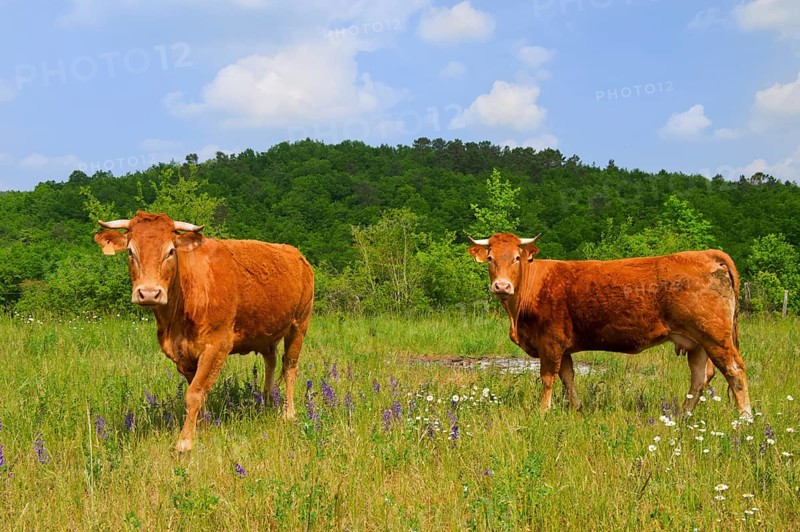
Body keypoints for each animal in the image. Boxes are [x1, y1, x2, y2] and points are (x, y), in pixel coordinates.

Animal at [95, 211, 314, 452]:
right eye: (130, 251)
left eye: (170, 251)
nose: (149, 293)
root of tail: (296, 254)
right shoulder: (182, 353)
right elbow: (198, 393)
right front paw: (204, 428)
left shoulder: (217, 346)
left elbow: (194, 393)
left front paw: (185, 442)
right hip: (267, 332)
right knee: (271, 362)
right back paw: (266, 401)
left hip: (299, 324)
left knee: (290, 366)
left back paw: (288, 413)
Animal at [468, 233, 751, 418]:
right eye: (490, 258)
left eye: (517, 257)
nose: (502, 286)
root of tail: (706, 254)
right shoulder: (564, 346)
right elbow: (568, 377)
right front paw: (576, 408)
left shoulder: (550, 342)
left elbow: (548, 378)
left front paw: (542, 412)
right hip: (697, 343)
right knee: (700, 377)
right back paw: (683, 416)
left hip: (715, 337)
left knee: (734, 371)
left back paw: (744, 419)